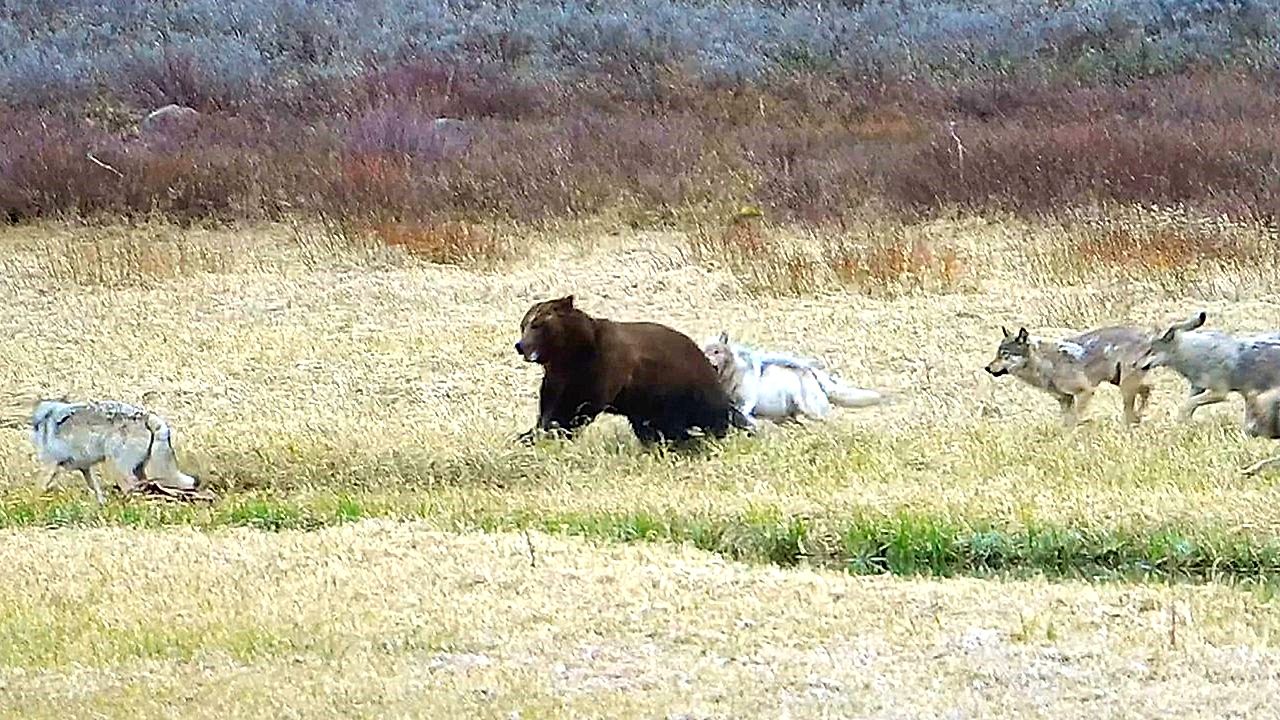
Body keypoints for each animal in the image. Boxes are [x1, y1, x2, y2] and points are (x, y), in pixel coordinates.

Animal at [22, 399, 201, 506]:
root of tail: (148, 416)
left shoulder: (49, 465)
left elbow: (36, 490)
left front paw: (29, 505)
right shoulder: (85, 468)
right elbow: (96, 490)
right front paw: (101, 506)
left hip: (120, 471)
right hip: (138, 471)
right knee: (150, 487)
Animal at [514, 295, 751, 446]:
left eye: (537, 324)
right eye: (523, 325)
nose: (520, 345)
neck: (571, 352)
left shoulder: (600, 368)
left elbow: (580, 406)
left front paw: (557, 431)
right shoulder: (560, 376)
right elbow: (552, 405)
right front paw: (530, 433)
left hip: (683, 386)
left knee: (709, 415)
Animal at [701, 332, 885, 426]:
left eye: (716, 352)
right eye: (704, 353)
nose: (708, 362)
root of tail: (811, 372)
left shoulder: (746, 402)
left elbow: (742, 413)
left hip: (804, 402)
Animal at [984, 325, 1153, 427]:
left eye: (1005, 354)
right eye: (997, 354)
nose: (987, 368)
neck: (1046, 364)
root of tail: (1146, 334)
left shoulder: (1085, 391)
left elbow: (1075, 420)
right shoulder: (1064, 399)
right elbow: (1066, 423)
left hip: (1125, 385)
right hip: (1120, 382)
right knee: (1148, 389)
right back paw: (1138, 417)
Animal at [1134, 310, 1280, 422]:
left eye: (1149, 351)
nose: (1134, 364)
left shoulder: (1219, 393)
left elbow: (1186, 405)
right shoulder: (1197, 387)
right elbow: (1187, 407)